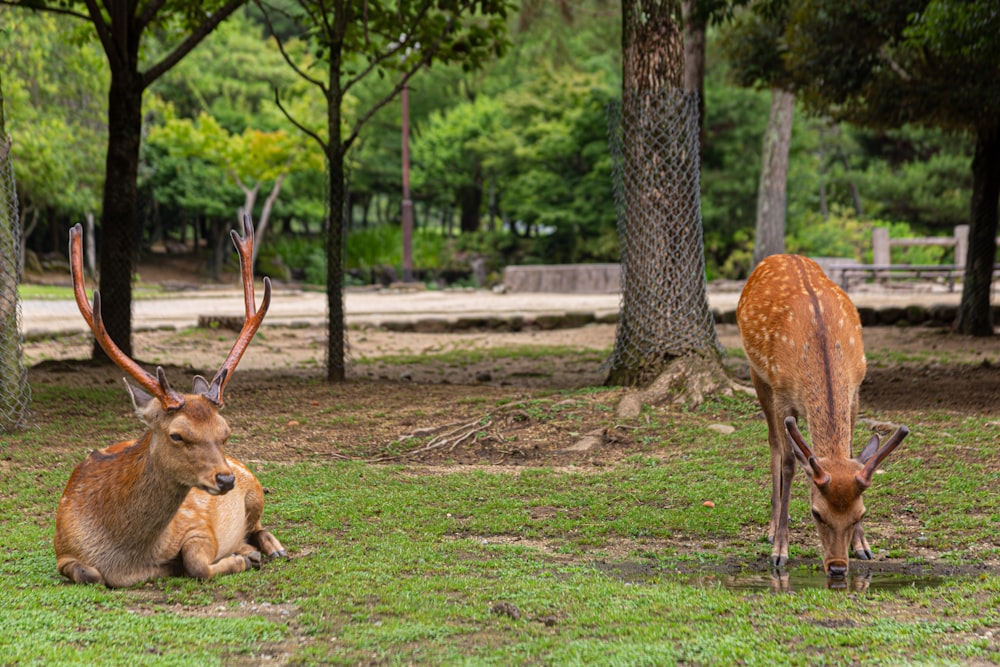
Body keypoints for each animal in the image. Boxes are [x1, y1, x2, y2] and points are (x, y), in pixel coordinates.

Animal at [56, 217, 286, 588]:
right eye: (177, 435)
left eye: (226, 432)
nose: (226, 480)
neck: (125, 558)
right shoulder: (62, 548)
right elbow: (89, 573)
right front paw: (241, 557)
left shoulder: (198, 527)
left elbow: (195, 563)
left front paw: (239, 559)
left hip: (254, 488)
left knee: (260, 525)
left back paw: (269, 549)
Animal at [736, 256, 908, 580]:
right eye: (816, 513)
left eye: (860, 513)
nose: (838, 567)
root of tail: (781, 256)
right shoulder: (782, 393)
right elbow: (789, 464)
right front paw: (780, 550)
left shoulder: (856, 391)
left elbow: (852, 453)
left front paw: (863, 545)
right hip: (757, 374)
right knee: (774, 444)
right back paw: (771, 526)